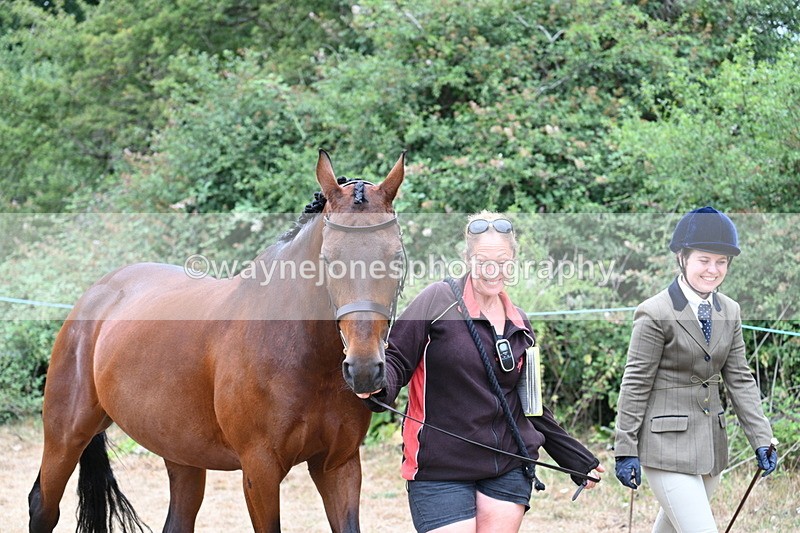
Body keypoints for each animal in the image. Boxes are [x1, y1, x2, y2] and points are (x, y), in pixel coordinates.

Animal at [28, 150, 406, 533]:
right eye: (328, 260)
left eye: (395, 258)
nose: (363, 369)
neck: (302, 354)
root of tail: (96, 294)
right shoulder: (259, 471)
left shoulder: (339, 466)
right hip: (65, 437)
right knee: (43, 505)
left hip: (180, 451)